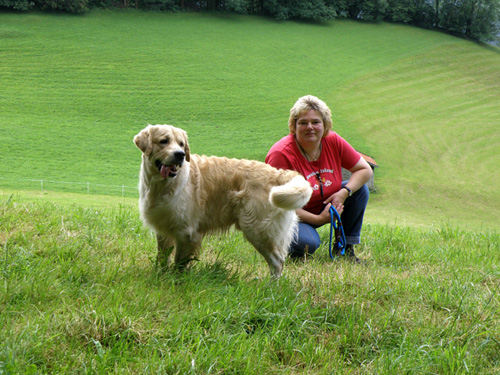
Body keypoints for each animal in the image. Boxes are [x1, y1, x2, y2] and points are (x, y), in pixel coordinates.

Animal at [134, 125, 312, 278]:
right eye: (164, 141)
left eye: (181, 144)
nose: (180, 154)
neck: (164, 185)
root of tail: (278, 173)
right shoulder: (163, 228)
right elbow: (163, 257)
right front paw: (161, 275)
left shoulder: (186, 232)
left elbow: (180, 261)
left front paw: (176, 279)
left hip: (258, 229)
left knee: (278, 261)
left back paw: (270, 287)